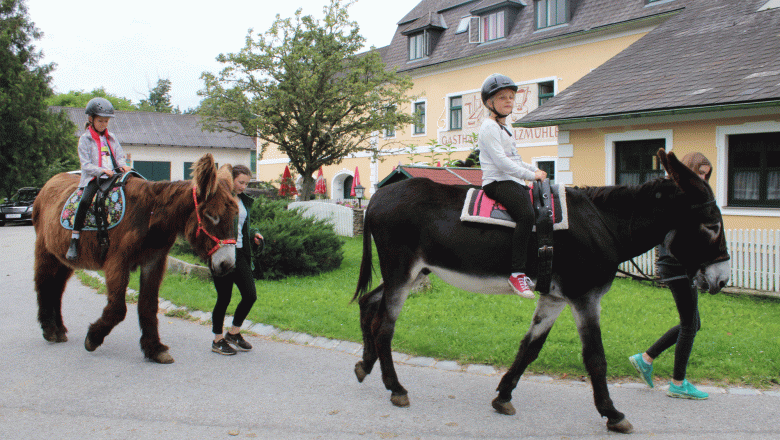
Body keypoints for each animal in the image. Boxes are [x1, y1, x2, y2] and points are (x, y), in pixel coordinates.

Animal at [32, 153, 238, 364]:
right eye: (211, 215)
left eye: (235, 217)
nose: (227, 265)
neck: (149, 215)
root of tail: (50, 182)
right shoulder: (117, 263)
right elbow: (118, 308)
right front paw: (92, 338)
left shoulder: (153, 262)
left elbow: (149, 305)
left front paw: (154, 349)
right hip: (45, 251)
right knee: (43, 284)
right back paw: (49, 329)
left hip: (63, 258)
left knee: (57, 289)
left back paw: (58, 330)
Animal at [352, 149, 730, 434]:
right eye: (712, 226)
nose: (722, 280)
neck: (602, 224)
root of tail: (378, 196)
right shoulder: (585, 298)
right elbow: (595, 358)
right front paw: (612, 413)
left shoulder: (555, 298)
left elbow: (530, 347)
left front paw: (504, 396)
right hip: (402, 272)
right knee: (384, 326)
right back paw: (396, 388)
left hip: (414, 273)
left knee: (369, 304)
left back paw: (365, 365)